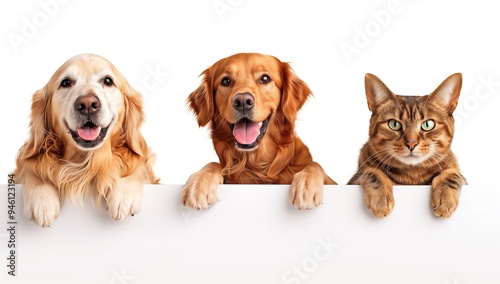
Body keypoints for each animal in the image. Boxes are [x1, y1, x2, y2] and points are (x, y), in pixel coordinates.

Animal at [350, 72, 466, 217]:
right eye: (394, 124)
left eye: (428, 124)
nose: (411, 143)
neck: (412, 176)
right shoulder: (354, 179)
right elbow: (370, 171)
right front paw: (380, 200)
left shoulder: (458, 173)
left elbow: (453, 173)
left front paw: (445, 199)